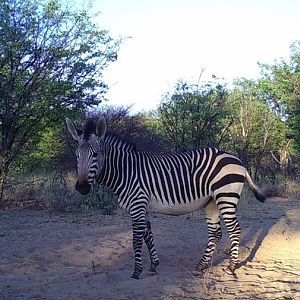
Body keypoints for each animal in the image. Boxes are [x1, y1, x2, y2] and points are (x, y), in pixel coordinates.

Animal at [67, 116, 276, 278]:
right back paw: (201, 266)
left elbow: (136, 240)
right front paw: (154, 265)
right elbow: (148, 235)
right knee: (216, 233)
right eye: (76, 155)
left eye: (95, 154)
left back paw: (232, 266)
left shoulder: (137, 205)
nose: (82, 187)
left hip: (226, 197)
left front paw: (136, 272)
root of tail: (237, 160)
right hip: (212, 202)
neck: (126, 172)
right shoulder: (142, 208)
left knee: (235, 230)